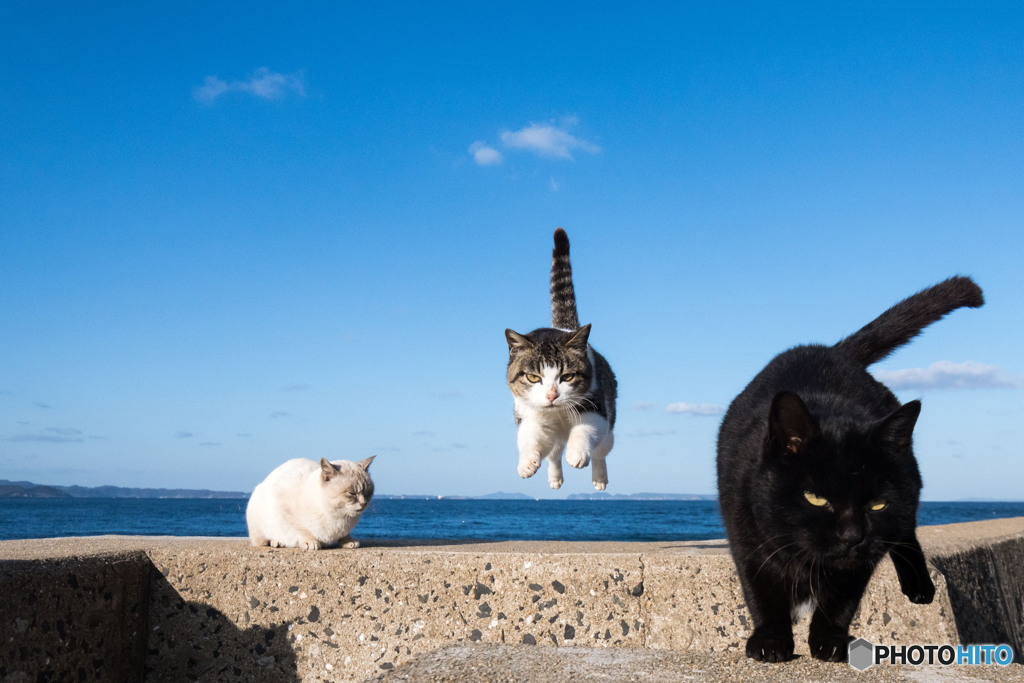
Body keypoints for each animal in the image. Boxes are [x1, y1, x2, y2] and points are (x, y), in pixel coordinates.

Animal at [244, 456, 376, 552]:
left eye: (368, 492)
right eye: (352, 493)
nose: (364, 503)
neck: (338, 515)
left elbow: (344, 535)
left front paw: (348, 541)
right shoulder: (284, 507)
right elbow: (302, 529)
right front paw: (310, 542)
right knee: (264, 540)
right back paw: (277, 542)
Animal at [712, 276, 983, 663]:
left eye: (876, 504)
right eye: (815, 497)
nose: (852, 535)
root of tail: (832, 350)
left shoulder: (866, 552)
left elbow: (843, 595)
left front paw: (831, 639)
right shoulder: (746, 533)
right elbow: (762, 589)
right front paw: (771, 639)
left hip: (909, 482)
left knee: (905, 528)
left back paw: (918, 584)